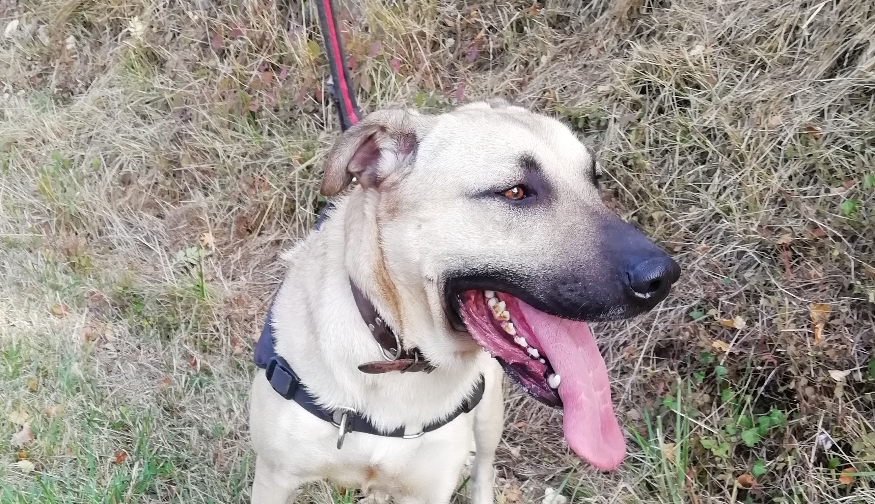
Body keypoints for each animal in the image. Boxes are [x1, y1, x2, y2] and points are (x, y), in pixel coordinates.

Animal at [248, 98, 680, 503]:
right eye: (515, 192)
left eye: (594, 180)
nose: (663, 277)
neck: (398, 354)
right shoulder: (273, 478)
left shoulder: (429, 489)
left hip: (489, 416)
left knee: (484, 470)